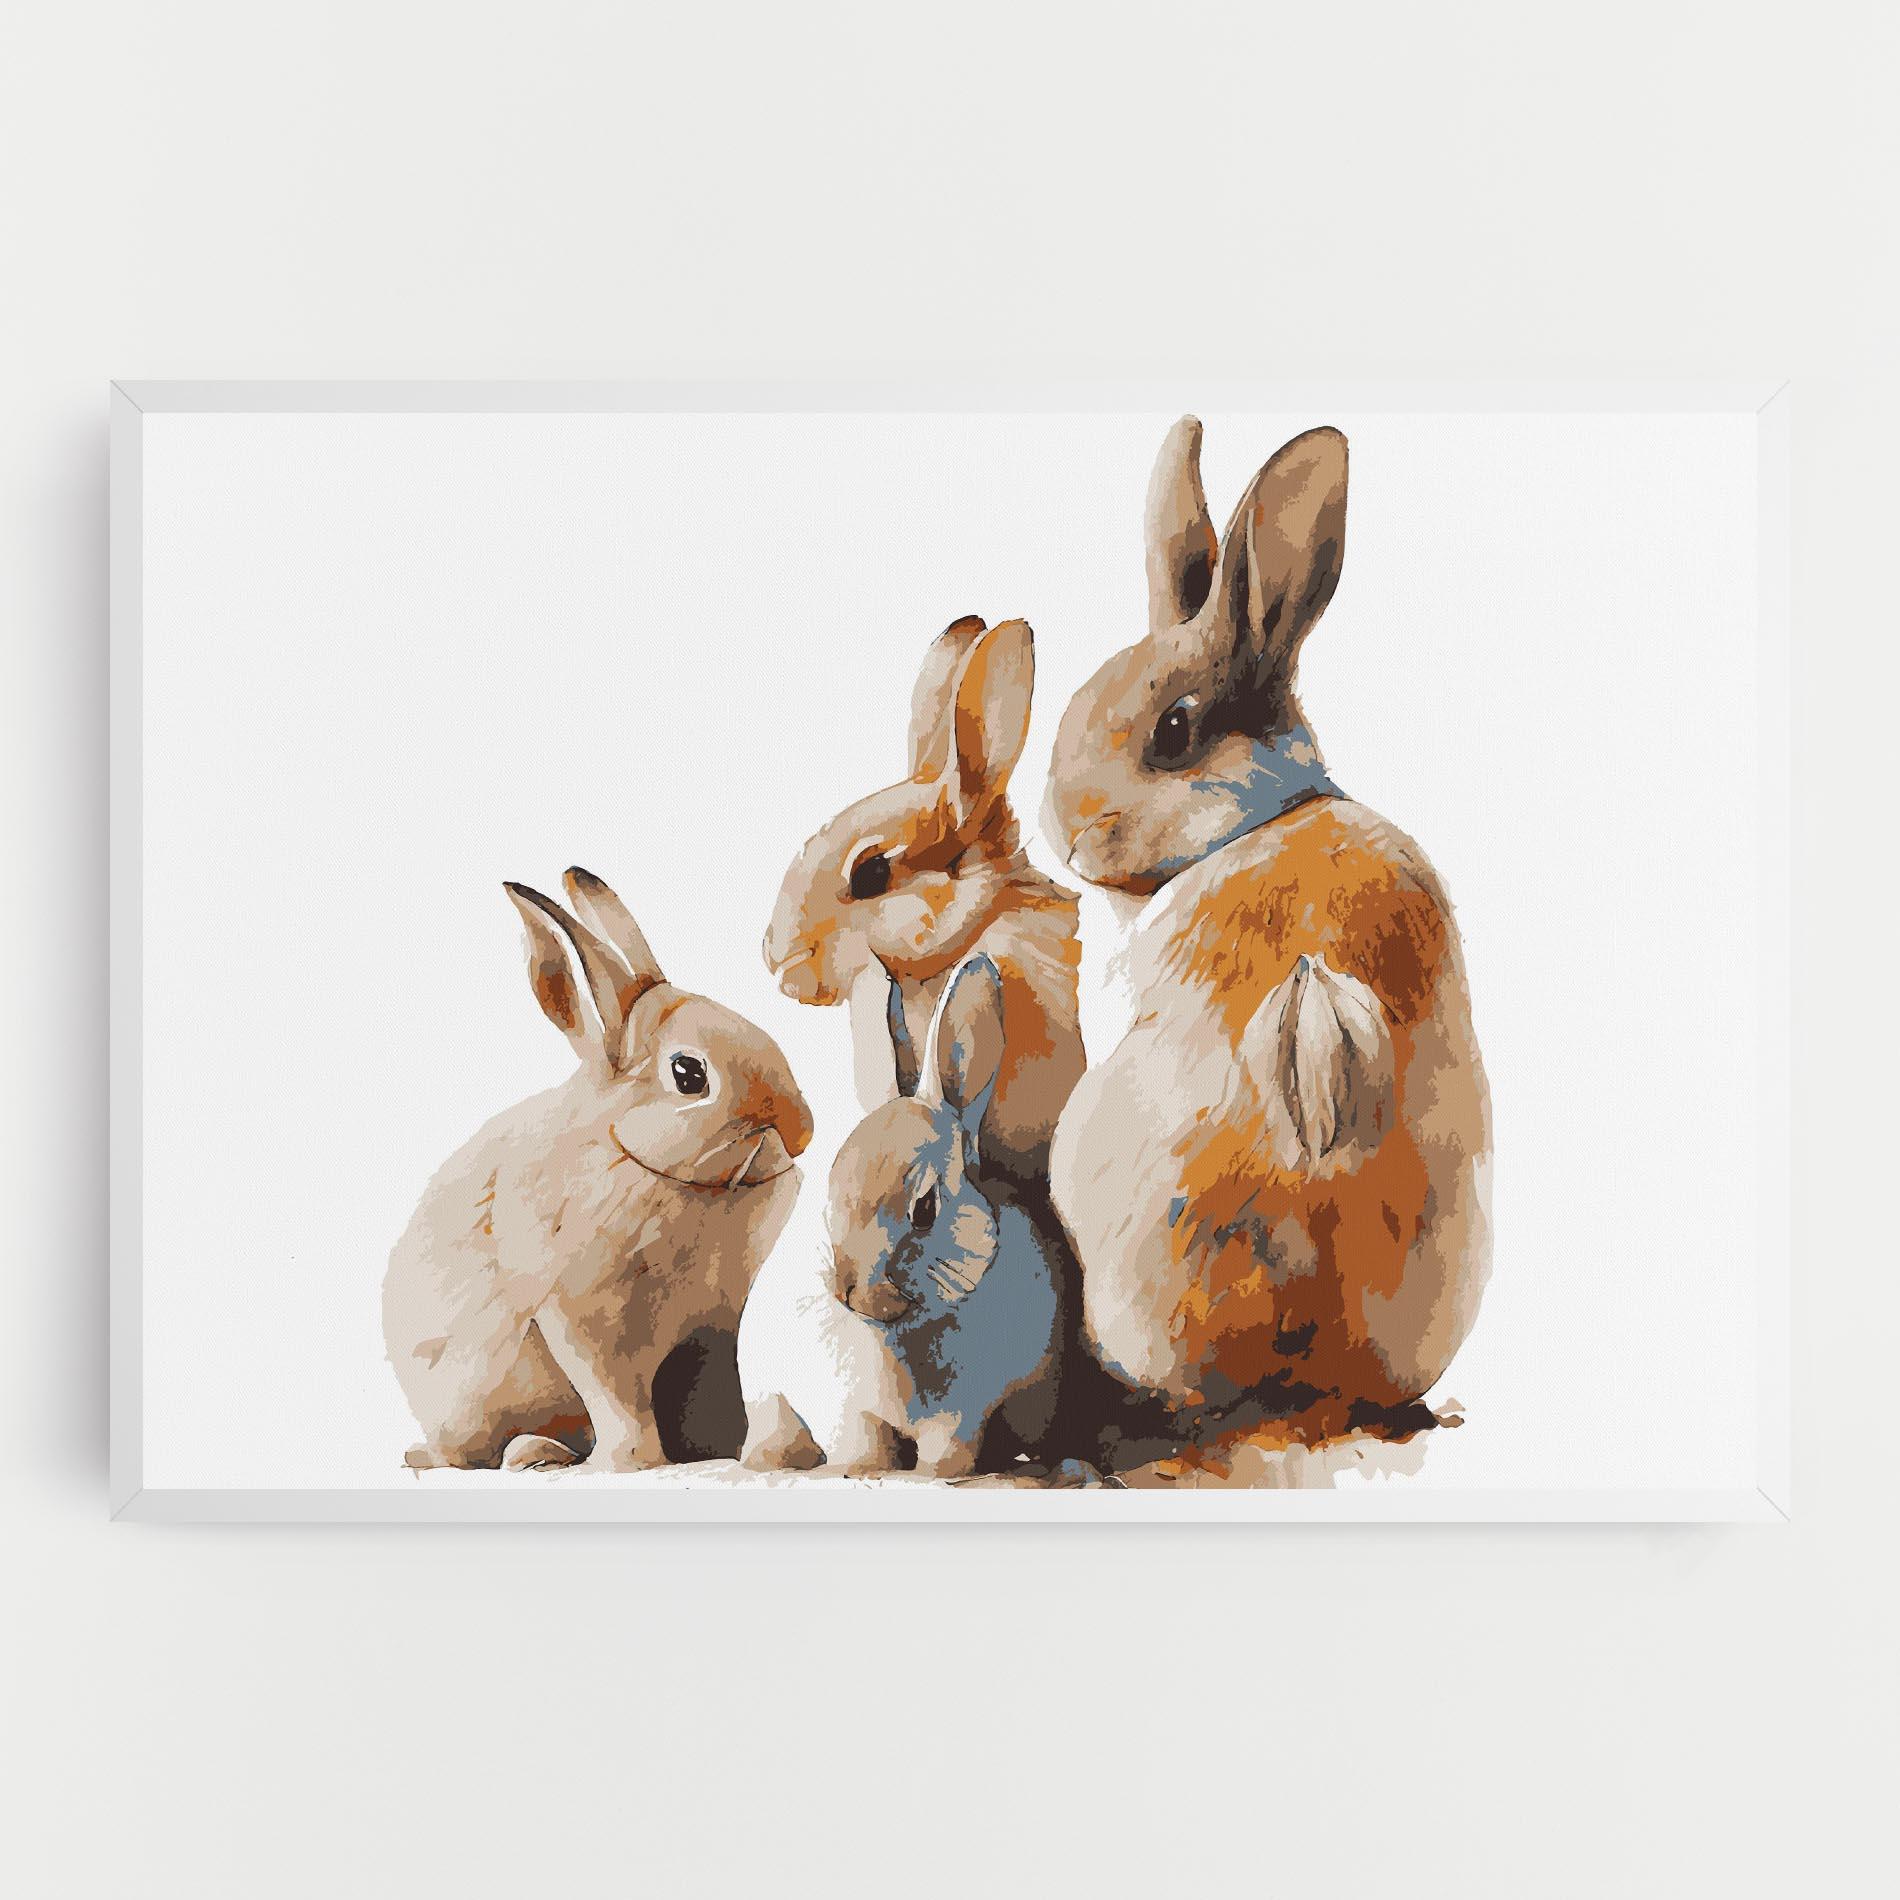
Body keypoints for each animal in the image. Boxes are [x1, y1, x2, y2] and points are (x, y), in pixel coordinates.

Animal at [383, 867, 813, 1472]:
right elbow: (616, 1395)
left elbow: (710, 1389)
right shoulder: (586, 1320)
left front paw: (722, 1450)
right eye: (689, 1074)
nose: (802, 1130)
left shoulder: (711, 1326)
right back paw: (529, 1454)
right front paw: (636, 1462)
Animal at [823, 954, 1065, 1478]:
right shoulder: (864, 1412)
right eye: (832, 1189)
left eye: (925, 1208)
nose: (851, 1294)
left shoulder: (959, 1417)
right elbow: (869, 1441)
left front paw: (931, 1477)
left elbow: (945, 1454)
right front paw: (860, 1469)